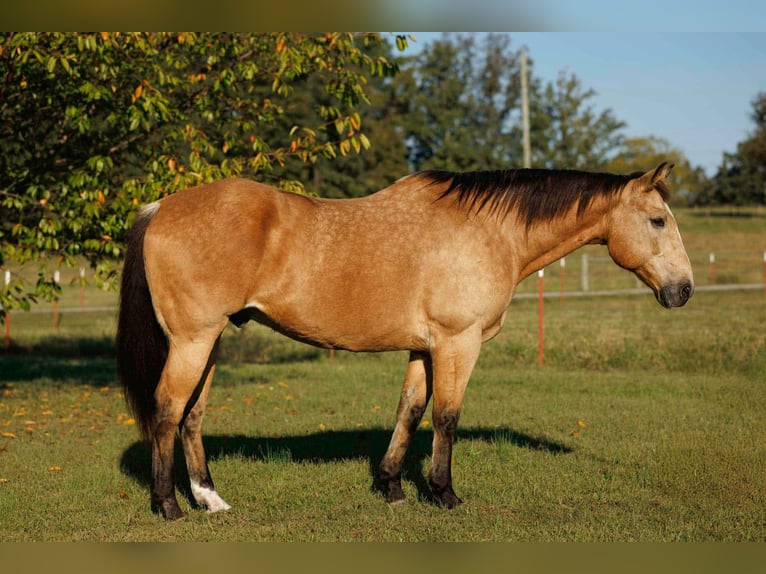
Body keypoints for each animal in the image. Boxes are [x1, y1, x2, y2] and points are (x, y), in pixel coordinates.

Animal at [116, 163, 694, 520]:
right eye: (657, 220)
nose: (683, 289)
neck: (490, 231)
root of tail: (160, 207)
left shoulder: (425, 347)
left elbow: (409, 410)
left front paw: (392, 487)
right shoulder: (458, 343)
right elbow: (446, 417)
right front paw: (444, 493)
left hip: (210, 341)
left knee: (192, 415)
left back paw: (210, 500)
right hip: (193, 340)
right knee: (167, 409)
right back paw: (169, 506)